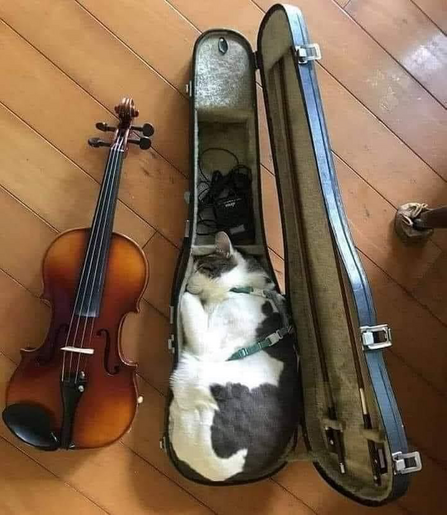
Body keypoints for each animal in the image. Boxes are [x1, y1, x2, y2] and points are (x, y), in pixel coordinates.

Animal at [168, 234, 300, 484]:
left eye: (201, 268)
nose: (187, 282)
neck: (245, 289)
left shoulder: (208, 342)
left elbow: (189, 301)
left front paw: (187, 294)